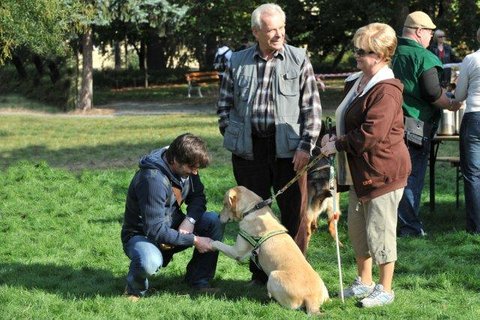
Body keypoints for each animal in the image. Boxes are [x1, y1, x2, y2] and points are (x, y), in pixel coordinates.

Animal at [214, 186, 330, 314]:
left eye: (225, 204)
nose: (218, 216)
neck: (252, 209)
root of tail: (311, 300)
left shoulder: (237, 252)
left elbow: (217, 243)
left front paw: (209, 242)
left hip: (273, 276)